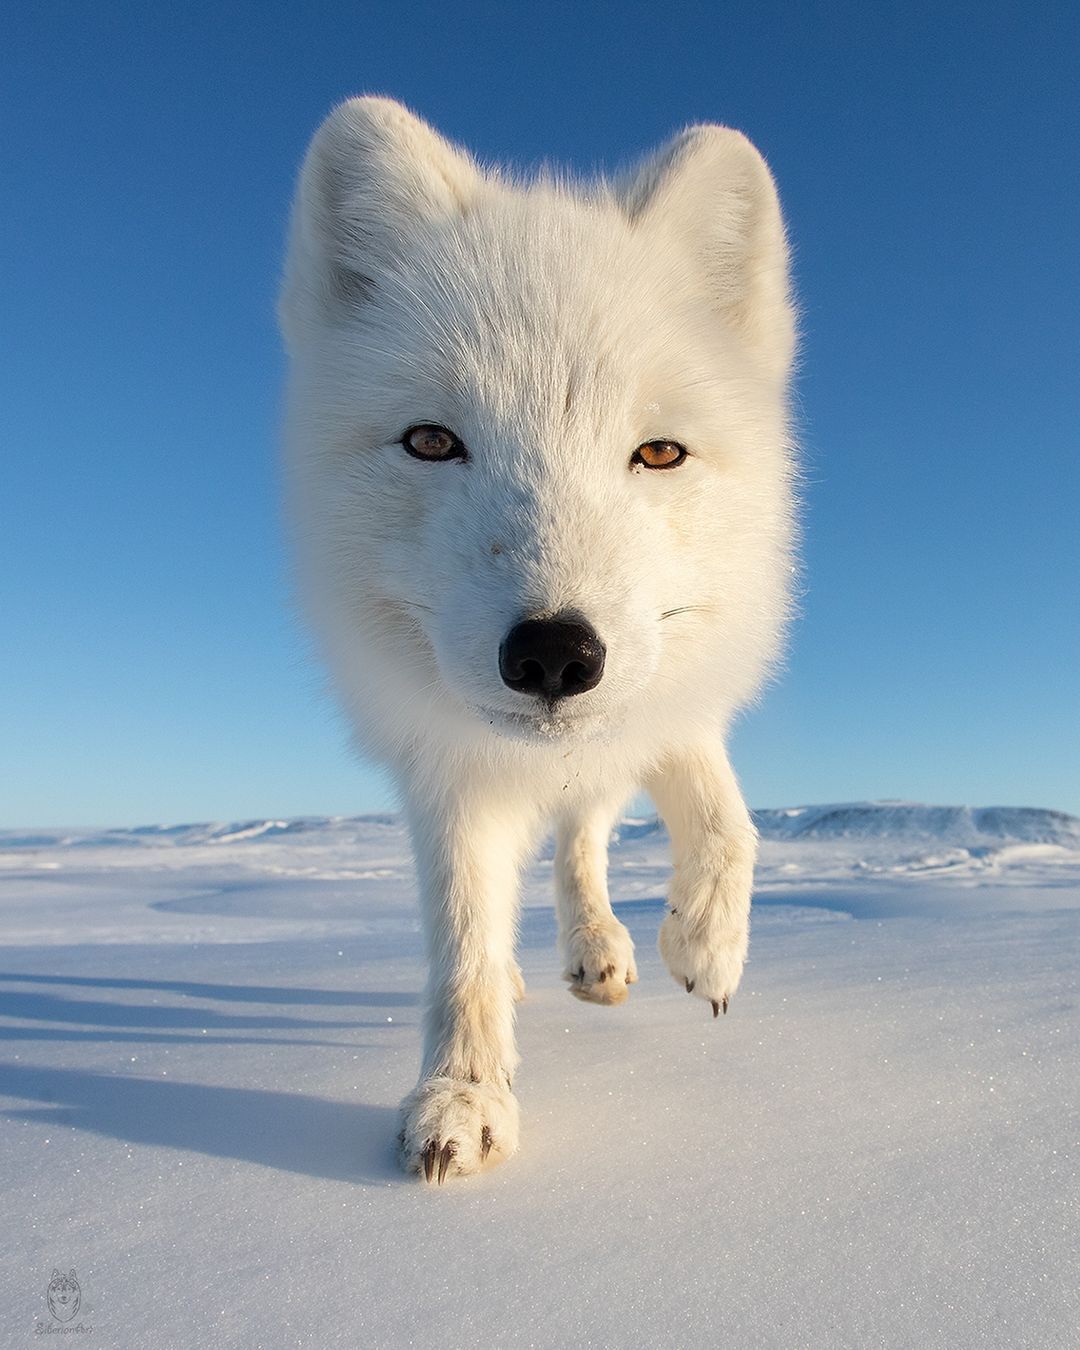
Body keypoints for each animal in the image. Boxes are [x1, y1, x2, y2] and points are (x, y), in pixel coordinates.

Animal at [280, 97, 793, 1182]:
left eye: (659, 452)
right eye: (432, 442)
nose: (556, 654)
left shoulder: (665, 690)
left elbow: (726, 819)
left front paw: (705, 943)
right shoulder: (443, 768)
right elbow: (465, 937)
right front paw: (462, 1094)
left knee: (581, 833)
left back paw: (602, 945)